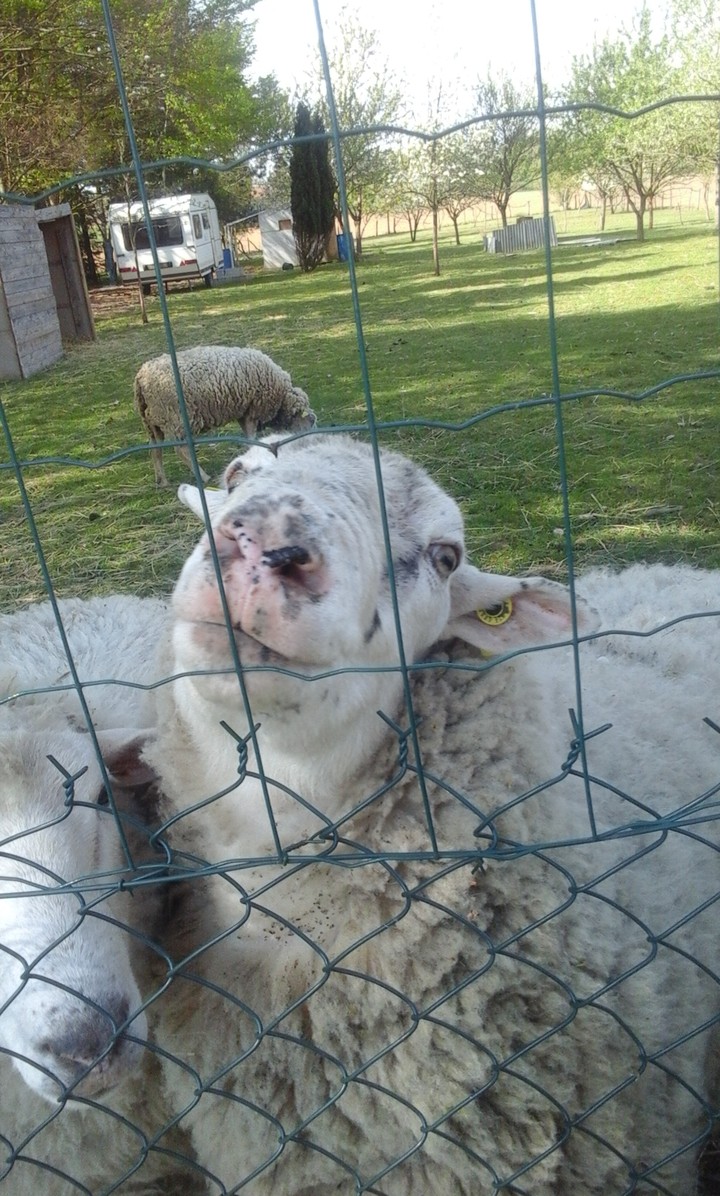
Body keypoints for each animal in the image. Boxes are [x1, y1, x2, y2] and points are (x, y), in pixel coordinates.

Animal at [133, 345, 317, 486]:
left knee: (155, 450)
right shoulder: (252, 410)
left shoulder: (243, 411)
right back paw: (203, 476)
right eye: (309, 421)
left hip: (154, 422)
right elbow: (251, 436)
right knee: (181, 450)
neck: (281, 398)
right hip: (175, 417)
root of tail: (141, 377)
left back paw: (162, 481)